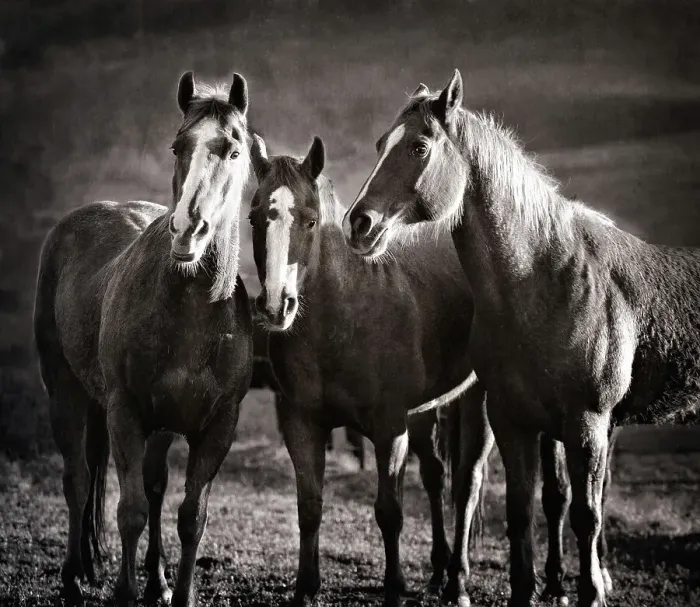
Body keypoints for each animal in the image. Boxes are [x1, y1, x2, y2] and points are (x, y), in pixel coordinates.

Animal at [33, 71, 254, 607]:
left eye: (234, 150)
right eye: (178, 146)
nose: (188, 229)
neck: (192, 310)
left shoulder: (217, 425)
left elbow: (190, 516)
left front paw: (179, 592)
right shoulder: (125, 411)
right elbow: (128, 509)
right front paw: (123, 592)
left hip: (162, 424)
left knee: (154, 487)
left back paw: (155, 580)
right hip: (65, 389)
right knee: (77, 479)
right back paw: (74, 576)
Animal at [246, 134, 581, 607]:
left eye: (310, 221)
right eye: (254, 218)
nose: (277, 306)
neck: (344, 314)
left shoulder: (390, 429)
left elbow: (390, 512)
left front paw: (394, 588)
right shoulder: (301, 424)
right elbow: (309, 507)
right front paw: (305, 590)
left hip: (486, 404)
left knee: (485, 487)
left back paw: (503, 582)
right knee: (437, 478)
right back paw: (440, 574)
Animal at [342, 69, 697, 607]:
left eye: (419, 147)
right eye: (383, 144)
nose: (359, 224)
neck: (542, 277)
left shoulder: (587, 421)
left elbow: (585, 515)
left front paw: (590, 591)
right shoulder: (512, 420)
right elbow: (520, 510)